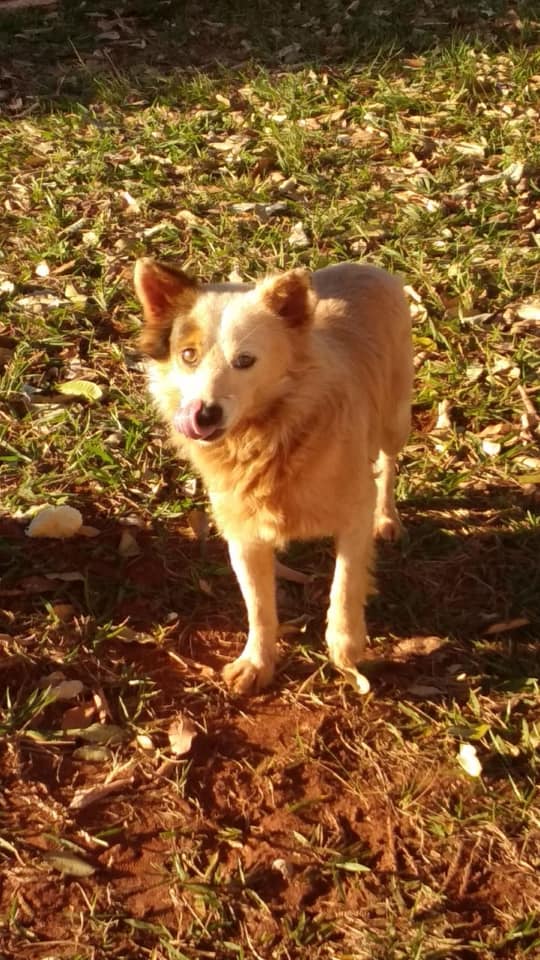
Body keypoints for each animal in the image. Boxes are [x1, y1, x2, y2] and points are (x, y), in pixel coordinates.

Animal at [134, 259, 413, 694]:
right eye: (188, 355)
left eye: (245, 361)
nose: (203, 415)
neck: (271, 438)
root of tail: (364, 266)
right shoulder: (243, 535)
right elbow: (260, 606)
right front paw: (257, 663)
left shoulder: (354, 515)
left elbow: (345, 584)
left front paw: (346, 648)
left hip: (395, 418)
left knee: (387, 462)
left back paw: (387, 518)